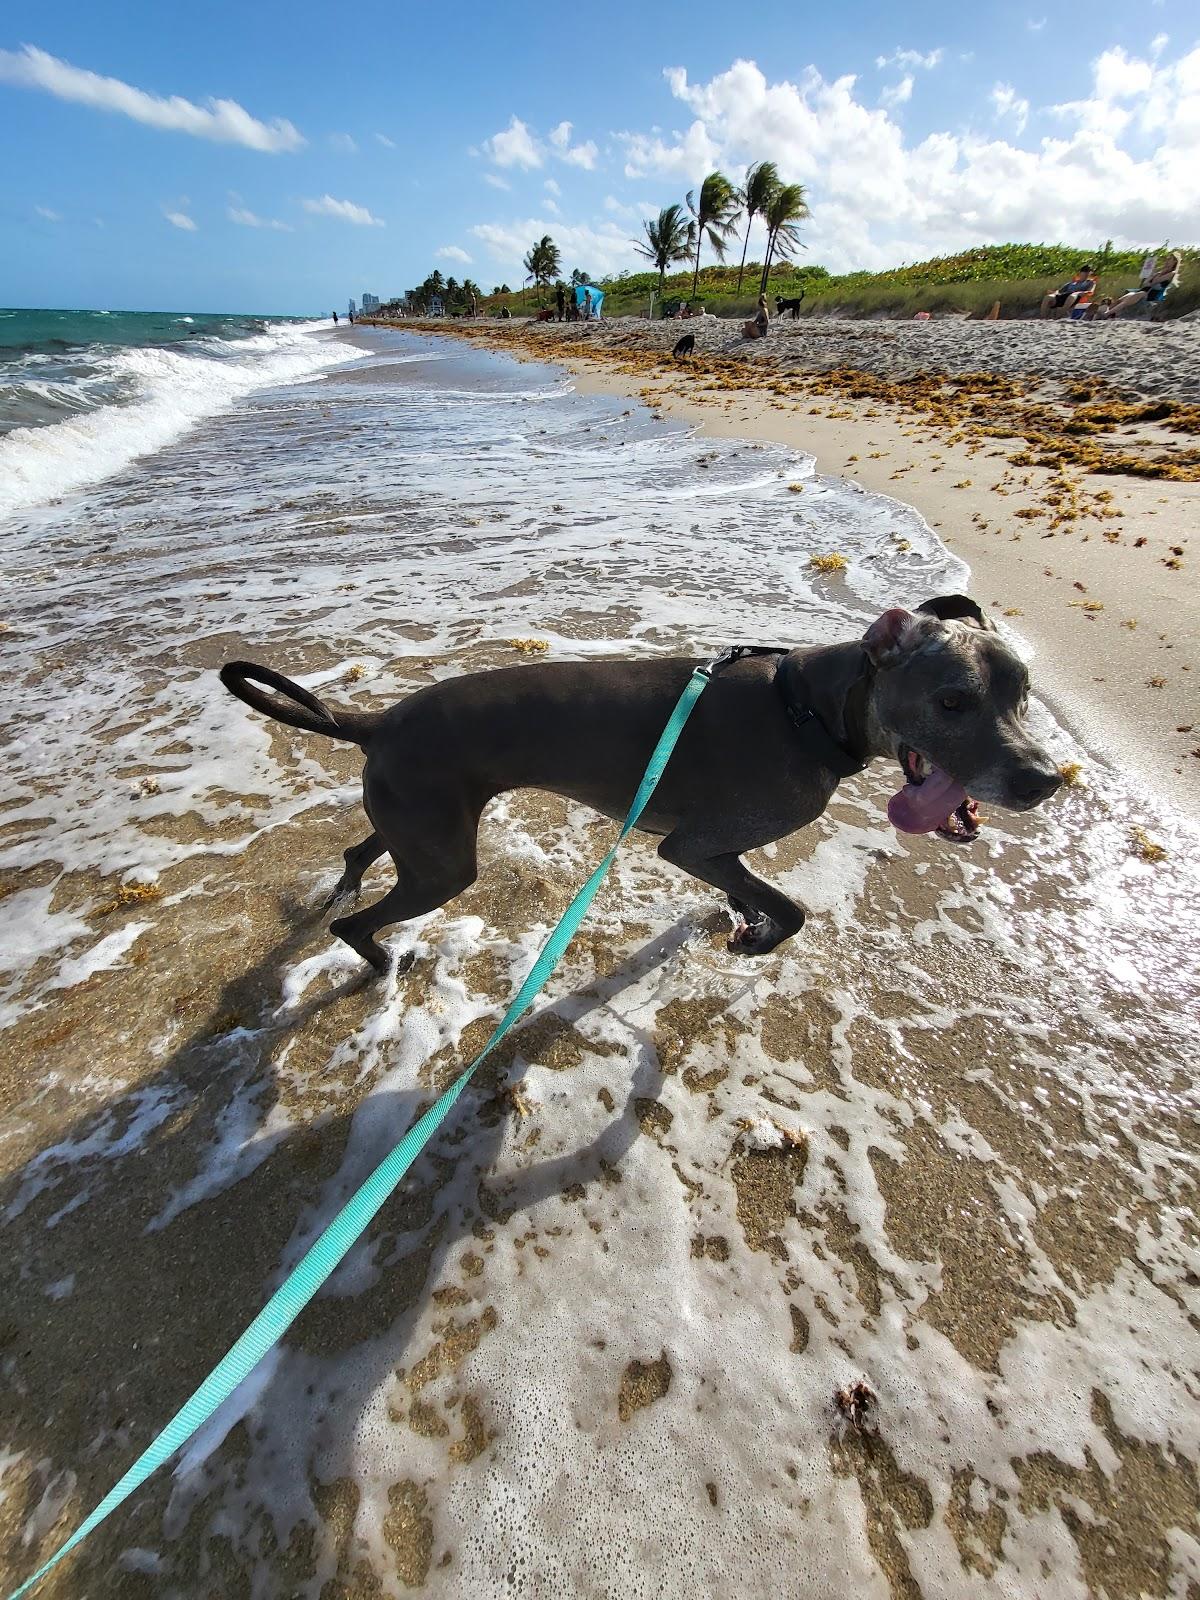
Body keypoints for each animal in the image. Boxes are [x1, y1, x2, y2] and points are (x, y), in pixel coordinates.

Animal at [224, 598, 1062, 972]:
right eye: (952, 701)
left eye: (1023, 694)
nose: (1044, 781)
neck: (808, 709)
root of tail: (373, 722)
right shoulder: (692, 845)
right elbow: (791, 910)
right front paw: (757, 939)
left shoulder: (714, 852)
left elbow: (753, 893)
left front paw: (745, 921)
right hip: (443, 859)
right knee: (358, 928)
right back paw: (384, 963)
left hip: (420, 822)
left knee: (360, 853)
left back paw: (346, 894)